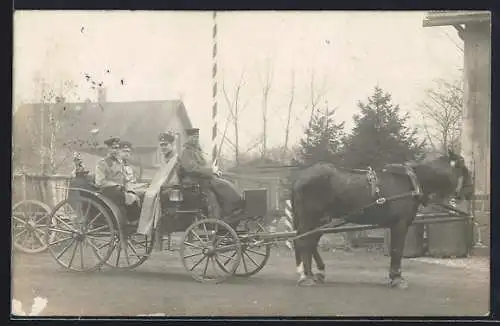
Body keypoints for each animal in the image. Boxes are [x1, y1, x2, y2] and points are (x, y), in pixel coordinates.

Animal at [290, 150, 472, 288]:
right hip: (311, 218)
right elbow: (397, 250)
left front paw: (394, 277)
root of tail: (300, 178)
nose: (469, 192)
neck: (410, 182)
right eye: (463, 168)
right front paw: (397, 279)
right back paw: (306, 276)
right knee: (303, 242)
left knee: (310, 243)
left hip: (321, 220)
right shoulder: (400, 224)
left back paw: (315, 273)